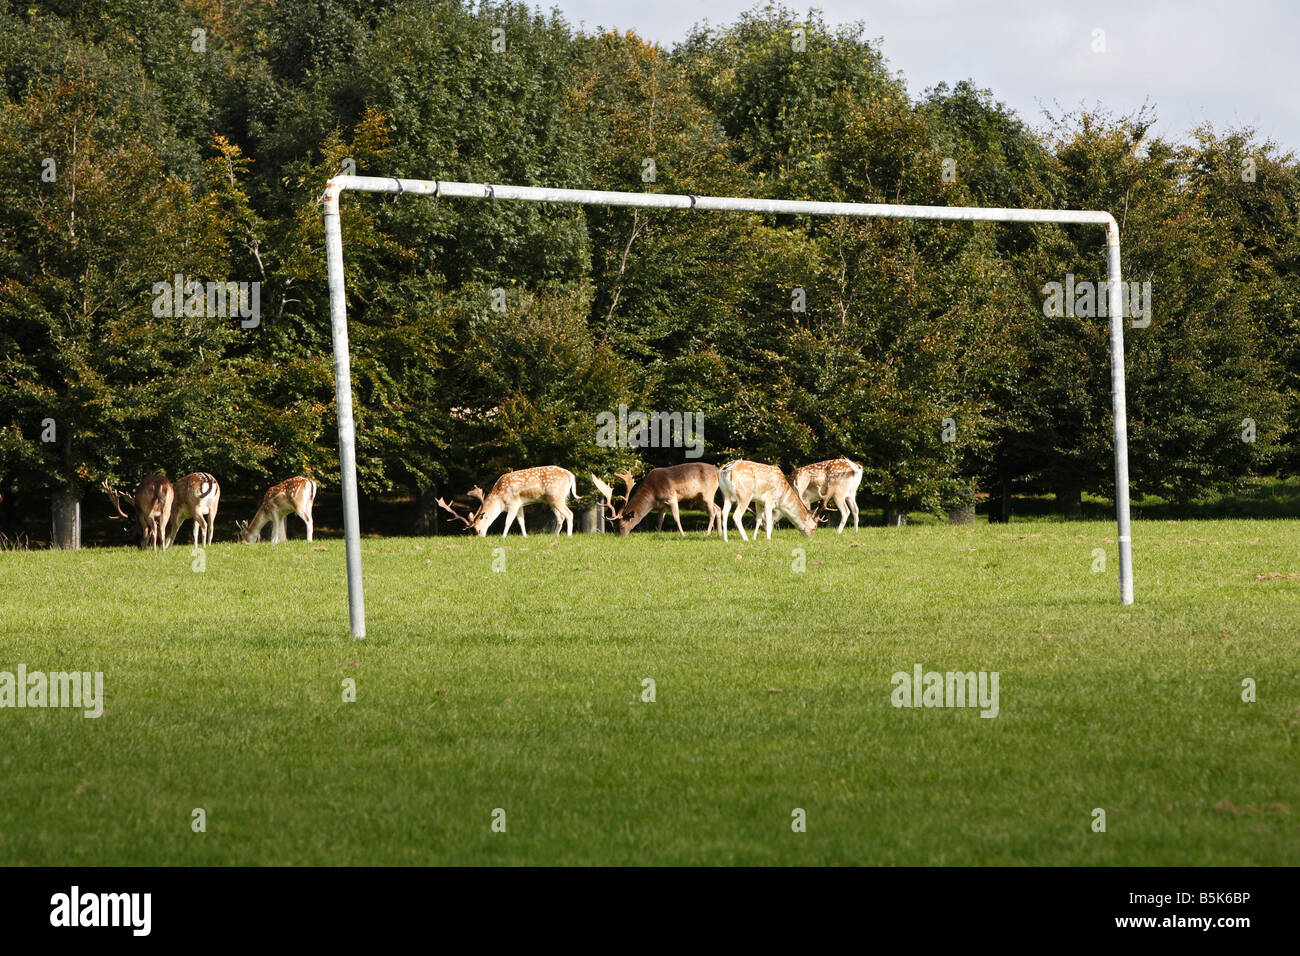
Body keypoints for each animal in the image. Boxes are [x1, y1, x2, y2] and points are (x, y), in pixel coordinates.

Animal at [436, 465, 574, 538]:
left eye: (478, 529)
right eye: (472, 531)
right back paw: (555, 535)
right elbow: (521, 522)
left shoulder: (513, 504)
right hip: (554, 501)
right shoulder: (520, 505)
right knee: (560, 517)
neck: (500, 498)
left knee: (569, 514)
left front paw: (503, 537)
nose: (480, 537)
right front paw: (525, 536)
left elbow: (508, 521)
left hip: (557, 497)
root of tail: (571, 475)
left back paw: (569, 535)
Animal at [592, 463, 722, 538]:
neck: (653, 495)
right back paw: (719, 533)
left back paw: (707, 533)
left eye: (622, 526)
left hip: (707, 494)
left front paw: (683, 535)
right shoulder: (662, 505)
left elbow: (676, 518)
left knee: (712, 513)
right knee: (718, 508)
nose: (619, 537)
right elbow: (659, 520)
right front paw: (658, 534)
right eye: (613, 527)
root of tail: (718, 470)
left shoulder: (671, 497)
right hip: (700, 498)